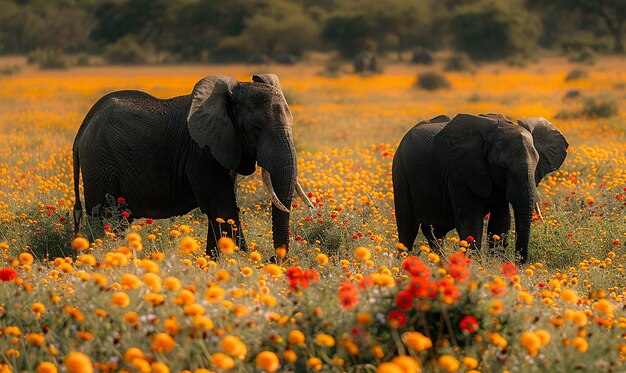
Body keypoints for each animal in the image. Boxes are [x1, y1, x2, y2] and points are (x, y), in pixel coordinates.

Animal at [72, 73, 310, 258]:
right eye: (255, 128)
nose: (272, 259)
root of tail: (83, 128)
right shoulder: (201, 151)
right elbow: (222, 207)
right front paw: (240, 260)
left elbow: (221, 209)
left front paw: (215, 262)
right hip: (101, 163)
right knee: (106, 216)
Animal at [392, 113, 568, 262]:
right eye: (502, 167)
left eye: (537, 163)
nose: (519, 263)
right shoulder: (460, 173)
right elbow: (471, 221)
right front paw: (476, 266)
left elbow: (501, 221)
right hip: (400, 171)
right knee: (407, 229)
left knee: (435, 233)